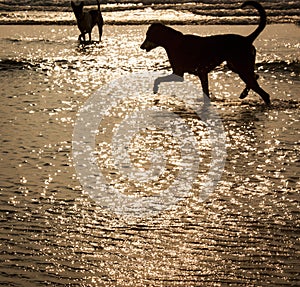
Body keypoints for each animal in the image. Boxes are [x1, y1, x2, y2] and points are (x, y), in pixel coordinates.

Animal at [140, 1, 270, 104]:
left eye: (148, 35)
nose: (141, 47)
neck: (174, 42)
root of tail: (247, 39)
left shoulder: (180, 73)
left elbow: (158, 79)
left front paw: (155, 88)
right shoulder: (200, 73)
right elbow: (205, 91)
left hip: (241, 66)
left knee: (260, 90)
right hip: (235, 65)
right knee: (255, 78)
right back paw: (245, 93)